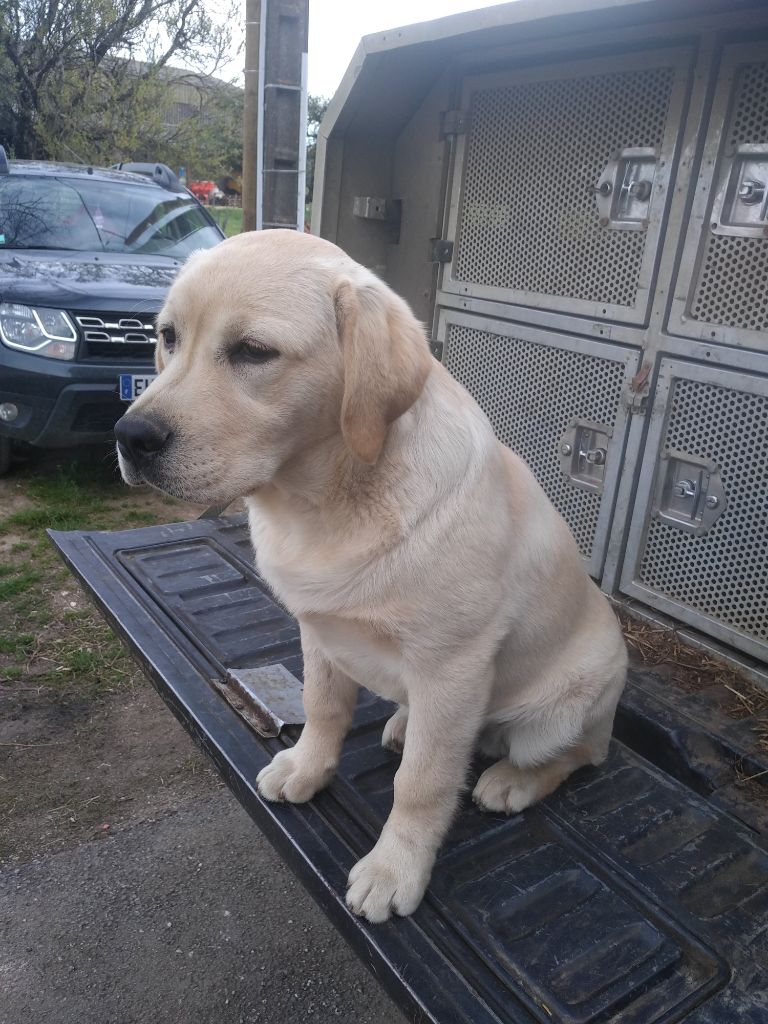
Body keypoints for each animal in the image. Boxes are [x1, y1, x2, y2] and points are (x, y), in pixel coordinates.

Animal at [115, 228, 630, 925]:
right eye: (168, 336)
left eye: (254, 351)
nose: (130, 436)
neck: (327, 499)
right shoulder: (320, 628)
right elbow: (323, 707)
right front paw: (308, 768)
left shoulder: (452, 664)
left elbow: (423, 782)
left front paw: (394, 868)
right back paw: (405, 724)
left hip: (566, 706)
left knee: (580, 754)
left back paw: (511, 780)